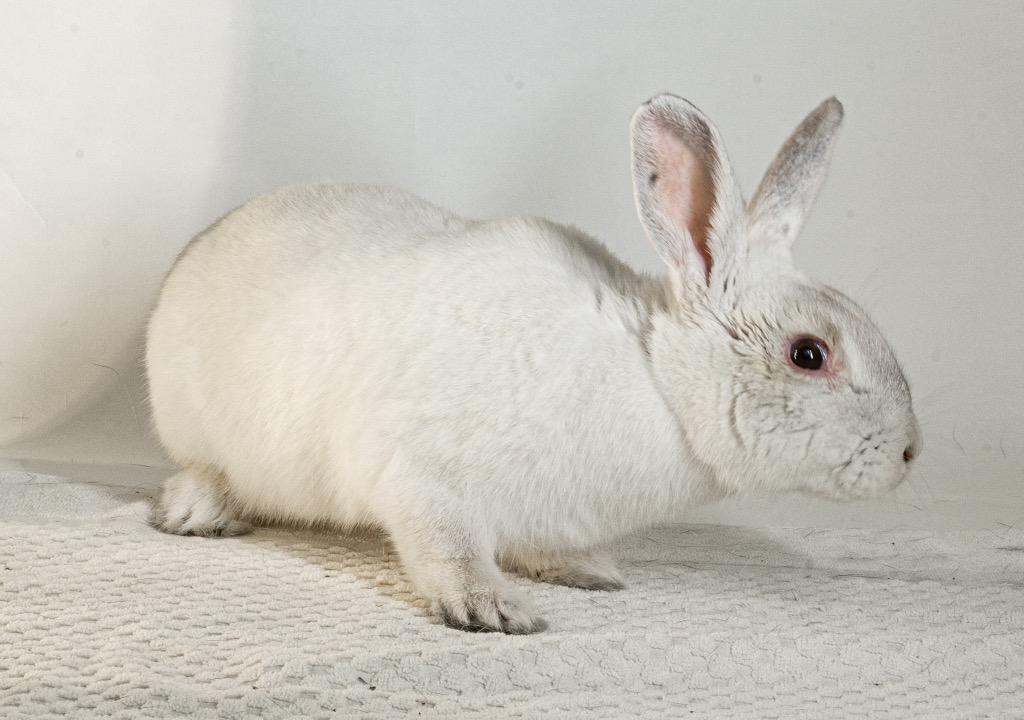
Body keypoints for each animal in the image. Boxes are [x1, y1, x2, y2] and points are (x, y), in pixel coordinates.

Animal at [146, 94, 921, 634]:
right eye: (809, 354)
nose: (911, 453)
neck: (658, 379)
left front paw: (588, 572)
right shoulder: (421, 478)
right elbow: (449, 551)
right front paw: (491, 610)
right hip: (199, 428)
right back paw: (198, 513)